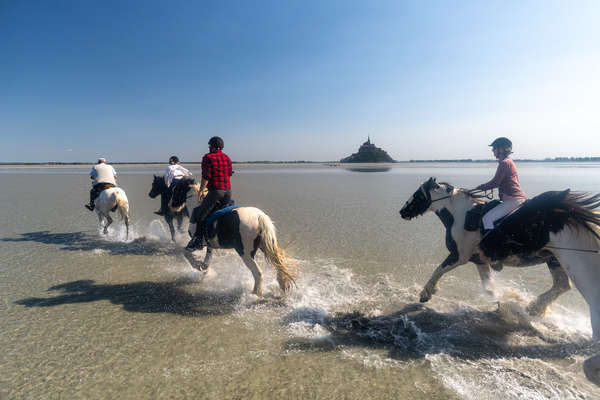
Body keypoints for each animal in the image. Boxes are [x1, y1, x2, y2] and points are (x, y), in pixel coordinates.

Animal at [398, 177, 600, 384]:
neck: (461, 215)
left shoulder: (459, 256)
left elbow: (439, 270)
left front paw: (426, 293)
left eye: (418, 194)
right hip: (554, 259)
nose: (402, 212)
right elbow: (488, 288)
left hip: (564, 259)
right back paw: (533, 309)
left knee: (566, 286)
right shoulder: (479, 261)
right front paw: (505, 305)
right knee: (561, 285)